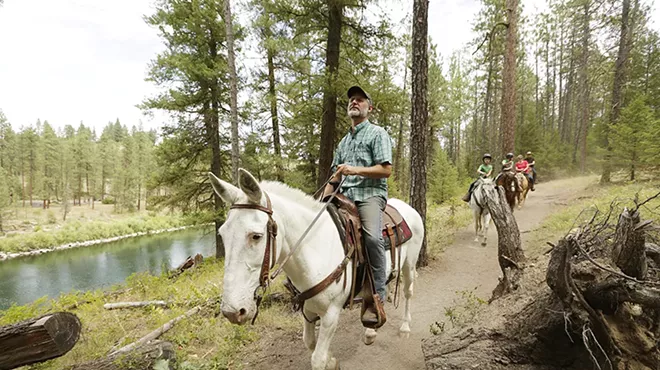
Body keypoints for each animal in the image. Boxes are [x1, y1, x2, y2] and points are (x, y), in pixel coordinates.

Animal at [209, 169, 426, 368]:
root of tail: (407, 207)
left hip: (409, 264)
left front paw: (328, 360)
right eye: (222, 234)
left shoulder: (331, 313)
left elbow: (317, 359)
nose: (232, 312)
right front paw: (333, 360)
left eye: (256, 236)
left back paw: (405, 327)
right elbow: (310, 342)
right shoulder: (307, 307)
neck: (315, 248)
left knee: (408, 292)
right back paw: (371, 330)